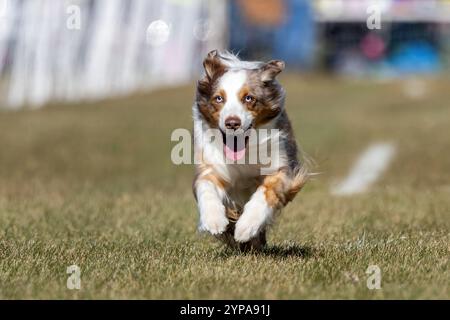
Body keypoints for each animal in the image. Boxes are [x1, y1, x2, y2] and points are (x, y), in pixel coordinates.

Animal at [192, 50, 308, 250]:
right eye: (219, 98)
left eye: (249, 98)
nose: (232, 123)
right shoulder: (212, 167)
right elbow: (205, 186)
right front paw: (214, 220)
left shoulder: (281, 168)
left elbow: (266, 192)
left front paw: (246, 226)